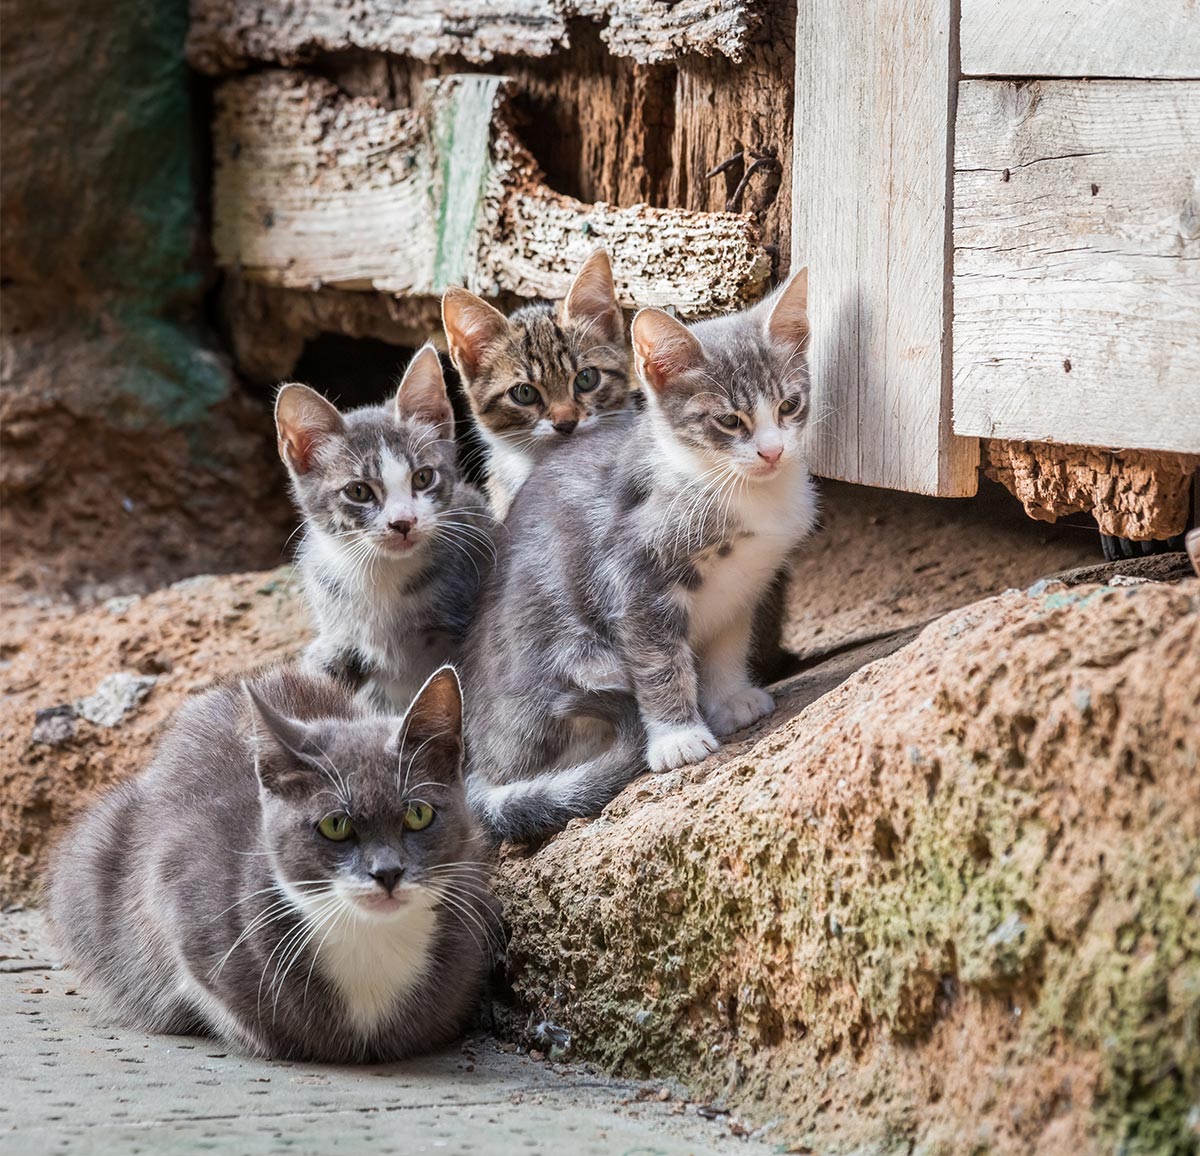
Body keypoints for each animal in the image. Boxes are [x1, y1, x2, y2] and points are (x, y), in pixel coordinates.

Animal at [460, 274, 816, 845]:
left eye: (789, 405)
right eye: (729, 420)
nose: (772, 452)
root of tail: (477, 768)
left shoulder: (744, 583)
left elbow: (727, 646)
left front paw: (730, 700)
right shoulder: (633, 577)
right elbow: (658, 661)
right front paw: (678, 737)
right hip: (580, 660)